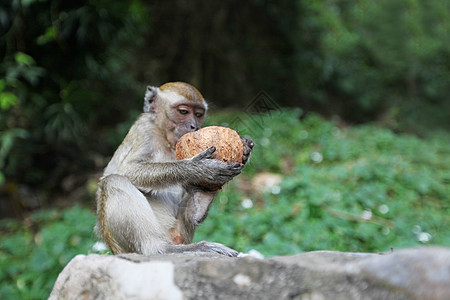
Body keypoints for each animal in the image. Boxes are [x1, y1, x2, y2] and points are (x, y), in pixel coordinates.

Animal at [95, 82, 253, 258]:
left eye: (199, 114)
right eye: (183, 111)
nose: (194, 126)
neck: (166, 139)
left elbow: (192, 217)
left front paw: (245, 150)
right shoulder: (145, 130)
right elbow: (127, 170)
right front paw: (199, 168)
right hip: (125, 248)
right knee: (114, 181)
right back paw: (163, 249)